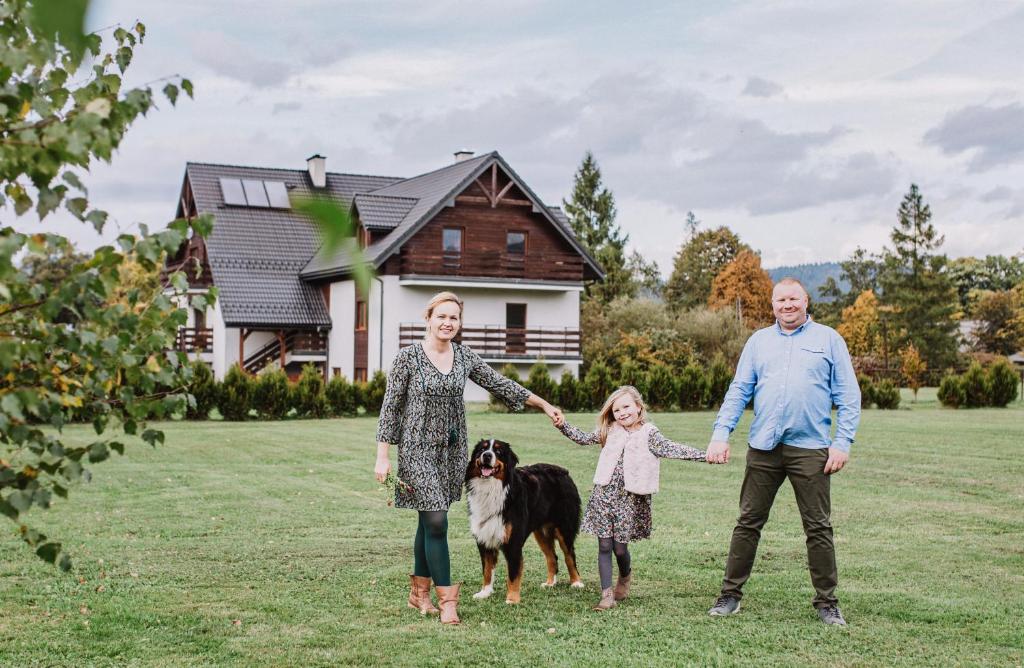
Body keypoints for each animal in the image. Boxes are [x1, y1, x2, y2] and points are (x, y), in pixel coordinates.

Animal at [464, 438, 585, 606]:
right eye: (482, 450)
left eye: (498, 451)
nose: (487, 456)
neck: (492, 489)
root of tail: (563, 470)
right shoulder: (484, 538)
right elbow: (487, 570)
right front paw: (485, 592)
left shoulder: (513, 541)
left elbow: (513, 574)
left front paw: (512, 599)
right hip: (541, 533)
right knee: (552, 557)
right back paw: (550, 583)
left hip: (564, 527)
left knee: (569, 555)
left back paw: (576, 582)